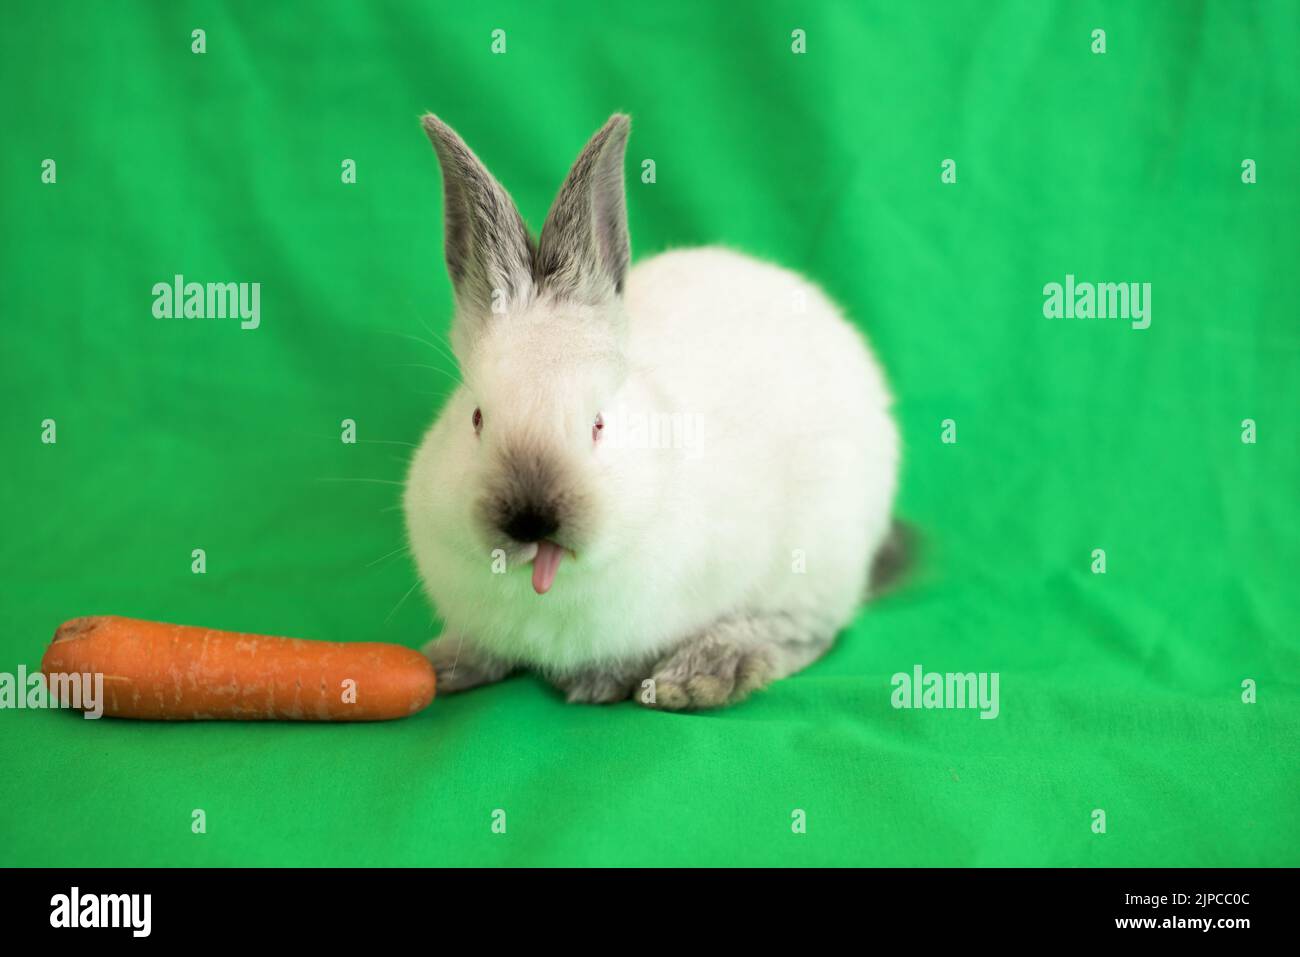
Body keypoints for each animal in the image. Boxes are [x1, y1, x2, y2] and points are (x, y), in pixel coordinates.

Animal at [403, 113, 903, 710]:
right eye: (476, 417)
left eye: (599, 423)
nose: (531, 519)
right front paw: (445, 665)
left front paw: (599, 682)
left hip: (821, 555)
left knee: (807, 630)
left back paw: (705, 674)